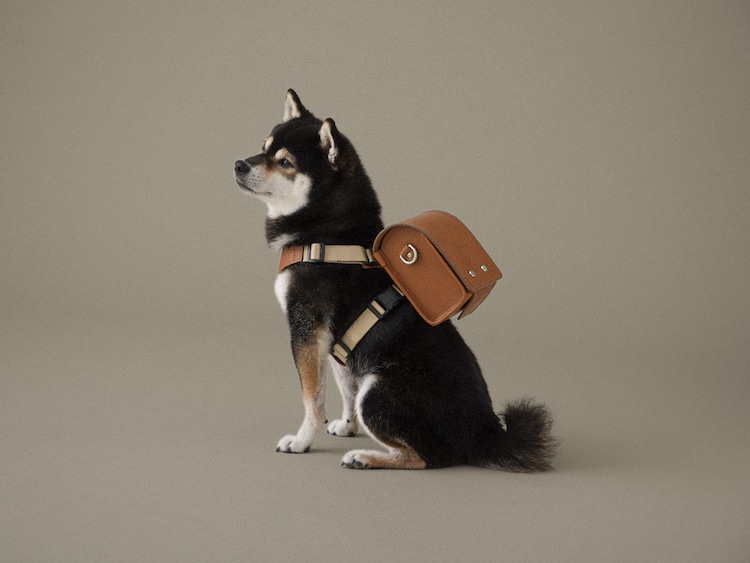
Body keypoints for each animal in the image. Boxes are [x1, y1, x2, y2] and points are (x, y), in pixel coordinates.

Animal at [235, 90, 560, 472]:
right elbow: (344, 387)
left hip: (378, 391)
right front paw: (346, 426)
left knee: (428, 458)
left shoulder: (307, 330)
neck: (329, 235)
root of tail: (487, 434)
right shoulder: (336, 345)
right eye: (263, 147)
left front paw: (301, 441)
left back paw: (366, 457)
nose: (239, 164)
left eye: (285, 162)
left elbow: (312, 398)